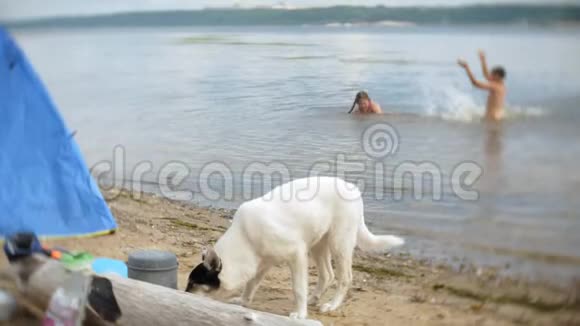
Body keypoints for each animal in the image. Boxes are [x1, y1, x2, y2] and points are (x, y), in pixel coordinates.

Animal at [186, 177, 404, 320]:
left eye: (194, 283)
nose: (183, 294)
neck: (246, 236)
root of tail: (353, 188)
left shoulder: (296, 254)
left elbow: (298, 288)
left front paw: (300, 314)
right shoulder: (264, 263)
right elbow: (251, 284)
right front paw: (243, 301)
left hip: (339, 243)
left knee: (345, 278)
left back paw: (331, 305)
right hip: (318, 244)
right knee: (328, 275)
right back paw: (313, 298)